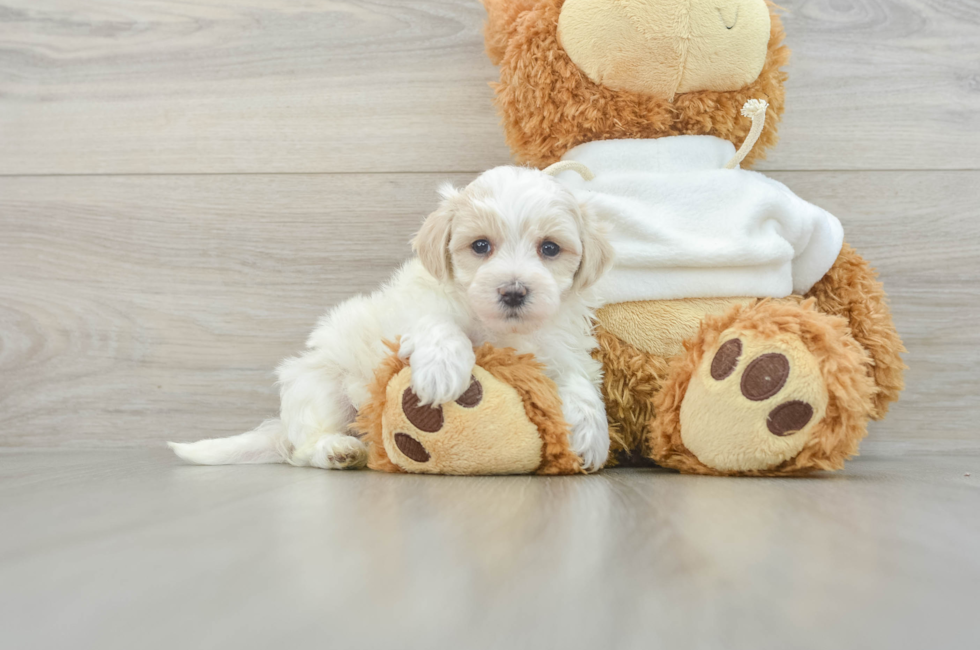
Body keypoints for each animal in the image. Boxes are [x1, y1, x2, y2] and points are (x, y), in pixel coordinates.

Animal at [168, 166, 612, 470]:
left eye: (549, 248)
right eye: (481, 246)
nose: (514, 291)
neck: (500, 330)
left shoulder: (560, 345)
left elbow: (578, 378)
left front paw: (590, 434)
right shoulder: (415, 313)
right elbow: (438, 324)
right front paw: (442, 370)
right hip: (320, 387)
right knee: (306, 446)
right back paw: (339, 450)